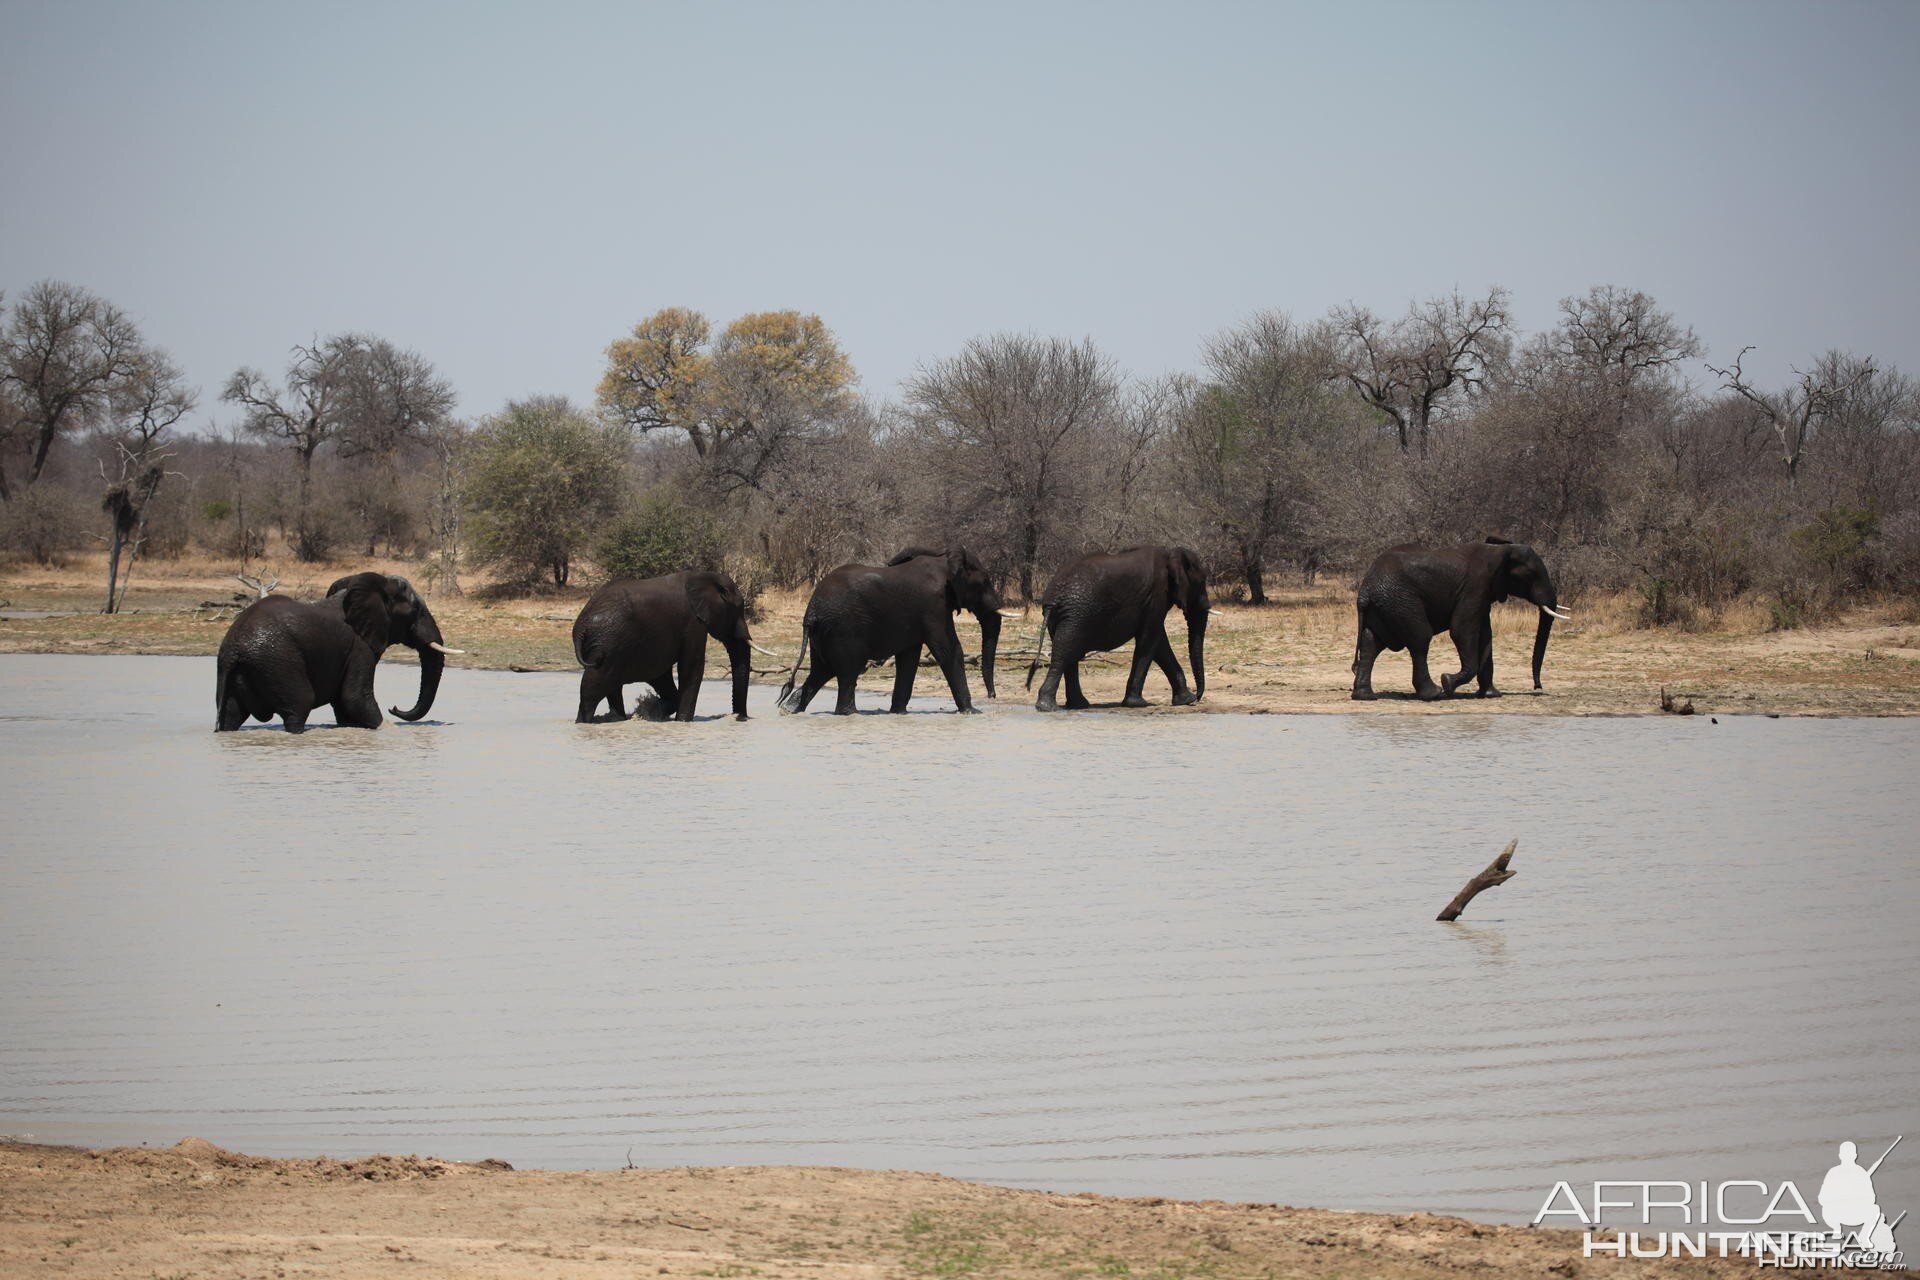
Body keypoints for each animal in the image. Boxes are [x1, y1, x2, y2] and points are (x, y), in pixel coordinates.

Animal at [216, 571, 458, 729]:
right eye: (416, 609)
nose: (395, 707)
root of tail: (233, 650)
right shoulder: (359, 646)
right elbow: (355, 698)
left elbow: (344, 706)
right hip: (277, 662)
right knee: (300, 705)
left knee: (230, 715)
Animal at [568, 571, 764, 721]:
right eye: (738, 609)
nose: (740, 717)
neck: (704, 576)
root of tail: (580, 626)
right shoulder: (693, 623)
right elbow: (691, 667)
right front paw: (682, 721)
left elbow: (662, 674)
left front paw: (651, 709)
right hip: (609, 641)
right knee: (593, 687)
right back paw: (585, 722)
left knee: (610, 686)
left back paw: (617, 719)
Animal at [779, 545, 1021, 717]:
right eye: (985, 581)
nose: (992, 696)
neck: (944, 559)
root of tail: (811, 611)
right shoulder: (934, 606)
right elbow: (949, 650)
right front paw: (972, 712)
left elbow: (909, 658)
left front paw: (899, 713)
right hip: (843, 629)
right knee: (848, 671)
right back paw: (849, 713)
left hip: (824, 633)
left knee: (821, 670)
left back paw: (789, 709)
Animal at [1029, 545, 1205, 717]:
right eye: (1201, 585)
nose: (1198, 697)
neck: (1170, 552)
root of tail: (1052, 599)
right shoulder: (1157, 596)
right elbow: (1149, 641)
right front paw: (1137, 704)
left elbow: (1159, 643)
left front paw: (1185, 700)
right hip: (1076, 615)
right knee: (1064, 653)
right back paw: (1048, 707)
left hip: (1068, 617)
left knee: (1068, 653)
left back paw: (1078, 705)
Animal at [1351, 537, 1574, 702]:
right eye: (1531, 575)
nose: (1537, 687)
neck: (1501, 549)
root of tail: (1365, 591)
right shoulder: (1475, 586)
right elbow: (1462, 630)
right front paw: (1447, 682)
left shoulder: (1483, 594)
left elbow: (1485, 636)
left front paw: (1491, 695)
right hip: (1401, 601)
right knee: (1420, 640)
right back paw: (1434, 693)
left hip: (1385, 607)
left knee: (1371, 643)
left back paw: (1365, 696)